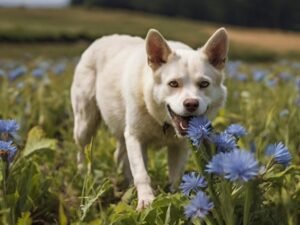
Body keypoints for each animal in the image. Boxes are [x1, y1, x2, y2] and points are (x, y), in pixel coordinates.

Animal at [71, 27, 229, 209]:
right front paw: (146, 202)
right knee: (82, 150)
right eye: (173, 83)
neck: (162, 123)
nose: (191, 104)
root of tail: (101, 39)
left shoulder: (179, 147)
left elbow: (176, 177)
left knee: (120, 155)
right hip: (85, 124)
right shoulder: (135, 137)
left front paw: (174, 198)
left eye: (204, 84)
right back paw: (84, 175)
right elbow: (141, 173)